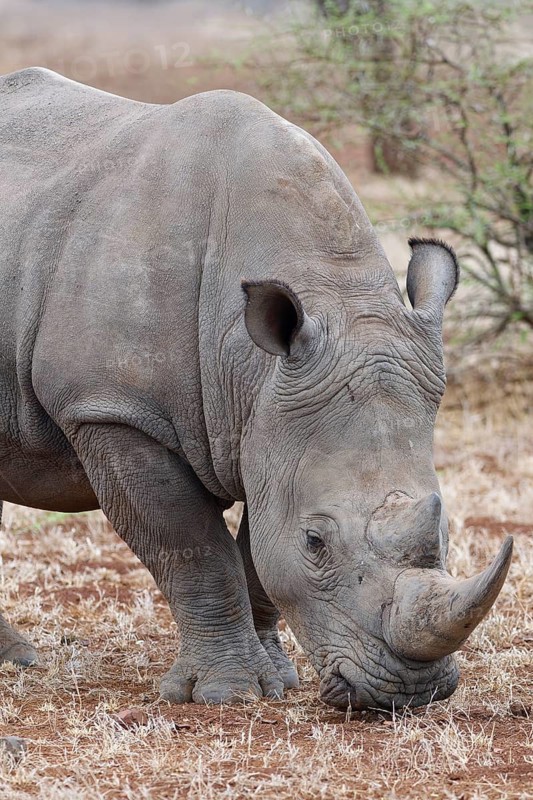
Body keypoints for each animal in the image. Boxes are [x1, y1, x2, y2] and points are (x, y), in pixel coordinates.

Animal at [0, 67, 512, 709]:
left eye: (446, 531)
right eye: (316, 542)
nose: (409, 693)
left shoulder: (269, 423)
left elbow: (257, 554)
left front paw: (279, 680)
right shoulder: (112, 409)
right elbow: (193, 549)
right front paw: (227, 693)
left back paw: (16, 658)